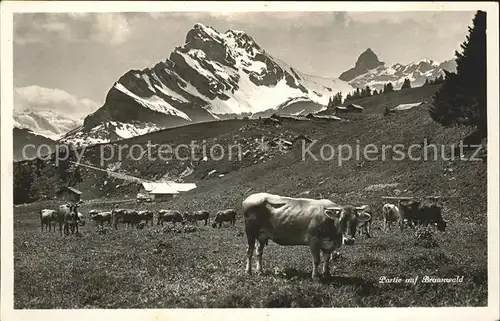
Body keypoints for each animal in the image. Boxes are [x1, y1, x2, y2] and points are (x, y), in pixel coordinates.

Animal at [242, 192, 372, 278]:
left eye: (356, 221)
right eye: (341, 221)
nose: (349, 240)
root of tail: (249, 198)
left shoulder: (329, 244)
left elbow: (327, 259)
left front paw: (326, 274)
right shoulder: (313, 240)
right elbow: (316, 260)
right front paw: (315, 276)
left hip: (262, 235)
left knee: (259, 252)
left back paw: (260, 271)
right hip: (250, 232)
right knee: (249, 251)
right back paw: (248, 271)